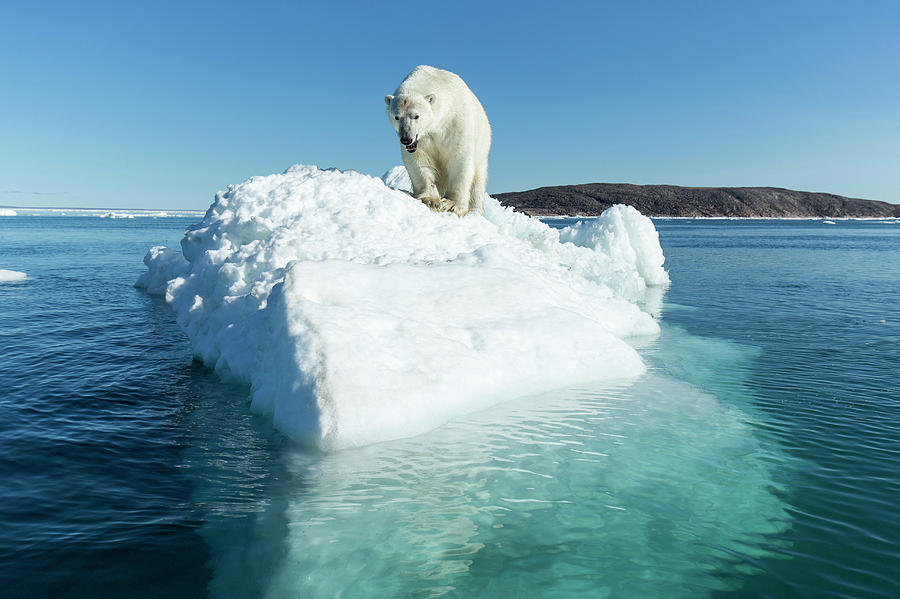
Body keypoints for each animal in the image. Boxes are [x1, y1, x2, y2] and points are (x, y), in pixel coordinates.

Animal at [385, 65, 491, 216]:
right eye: (396, 117)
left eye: (416, 116)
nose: (406, 139)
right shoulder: (422, 140)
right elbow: (419, 161)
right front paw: (431, 200)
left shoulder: (457, 123)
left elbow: (460, 159)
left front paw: (452, 204)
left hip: (482, 149)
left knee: (478, 181)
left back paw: (475, 210)